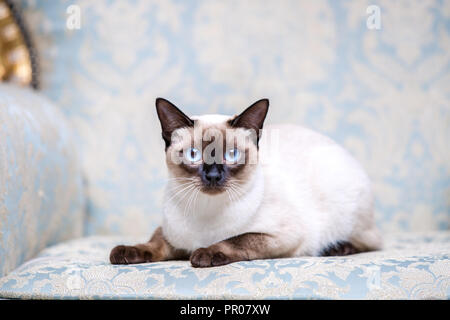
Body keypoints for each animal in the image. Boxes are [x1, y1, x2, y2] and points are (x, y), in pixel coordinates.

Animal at [110, 98, 382, 268]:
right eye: (193, 155)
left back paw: (337, 248)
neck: (206, 212)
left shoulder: (283, 236)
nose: (213, 176)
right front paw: (127, 252)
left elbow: (237, 239)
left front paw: (205, 254)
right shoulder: (171, 235)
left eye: (232, 155)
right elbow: (154, 242)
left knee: (372, 241)